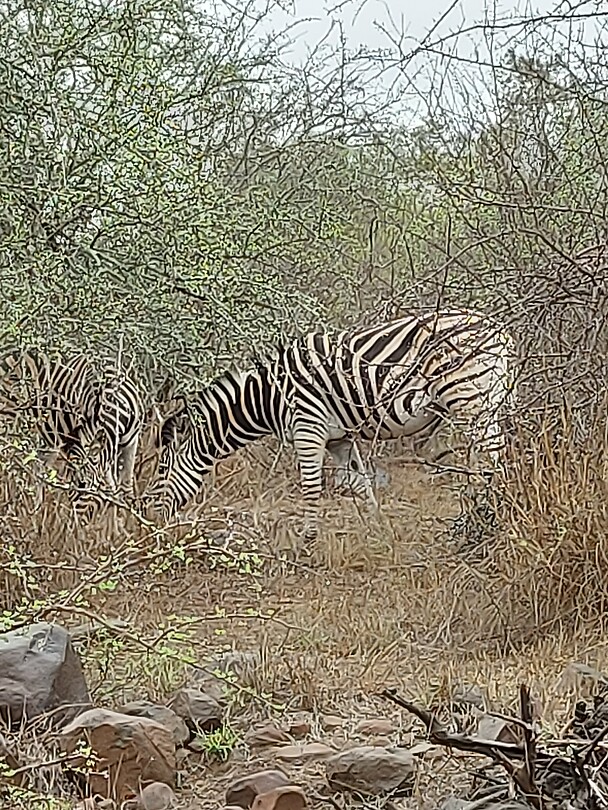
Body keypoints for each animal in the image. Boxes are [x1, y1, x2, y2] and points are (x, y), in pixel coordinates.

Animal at [147, 310, 516, 539]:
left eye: (162, 469)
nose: (150, 519)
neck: (267, 397)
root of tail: (499, 330)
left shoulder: (307, 428)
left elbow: (311, 486)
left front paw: (307, 540)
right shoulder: (340, 438)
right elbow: (360, 483)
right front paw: (377, 528)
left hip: (469, 399)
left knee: (489, 459)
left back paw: (484, 515)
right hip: (486, 403)